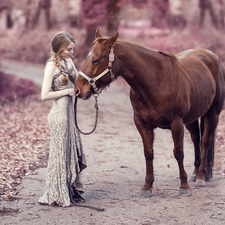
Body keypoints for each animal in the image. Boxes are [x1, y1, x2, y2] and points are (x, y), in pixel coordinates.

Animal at [75, 28, 225, 197]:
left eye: (96, 60)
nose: (78, 90)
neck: (156, 81)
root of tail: (210, 56)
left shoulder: (176, 123)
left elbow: (178, 153)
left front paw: (184, 186)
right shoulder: (142, 124)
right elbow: (148, 153)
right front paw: (147, 186)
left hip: (213, 114)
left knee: (205, 141)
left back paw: (200, 177)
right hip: (192, 118)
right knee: (196, 139)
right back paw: (195, 173)